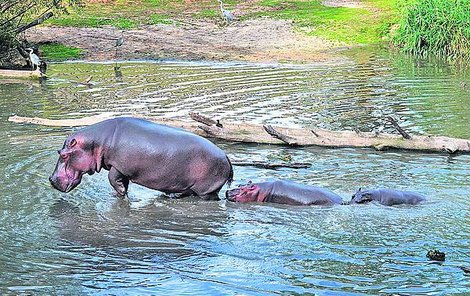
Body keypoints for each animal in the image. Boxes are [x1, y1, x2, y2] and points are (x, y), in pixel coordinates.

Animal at [49, 117, 233, 200]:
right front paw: (120, 194)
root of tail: (225, 155)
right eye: (59, 151)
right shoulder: (123, 170)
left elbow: (112, 178)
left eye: (64, 155)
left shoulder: (118, 165)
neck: (97, 142)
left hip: (206, 190)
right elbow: (122, 181)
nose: (51, 179)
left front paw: (121, 192)